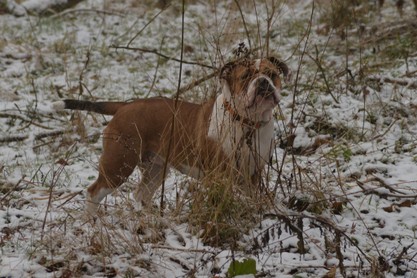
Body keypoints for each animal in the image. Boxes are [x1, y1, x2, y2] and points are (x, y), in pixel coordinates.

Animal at [54, 56, 290, 213]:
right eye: (245, 77)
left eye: (272, 74)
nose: (263, 82)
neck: (247, 122)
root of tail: (124, 106)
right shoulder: (218, 175)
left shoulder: (252, 174)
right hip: (118, 166)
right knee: (93, 192)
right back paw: (92, 223)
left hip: (156, 169)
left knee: (140, 193)